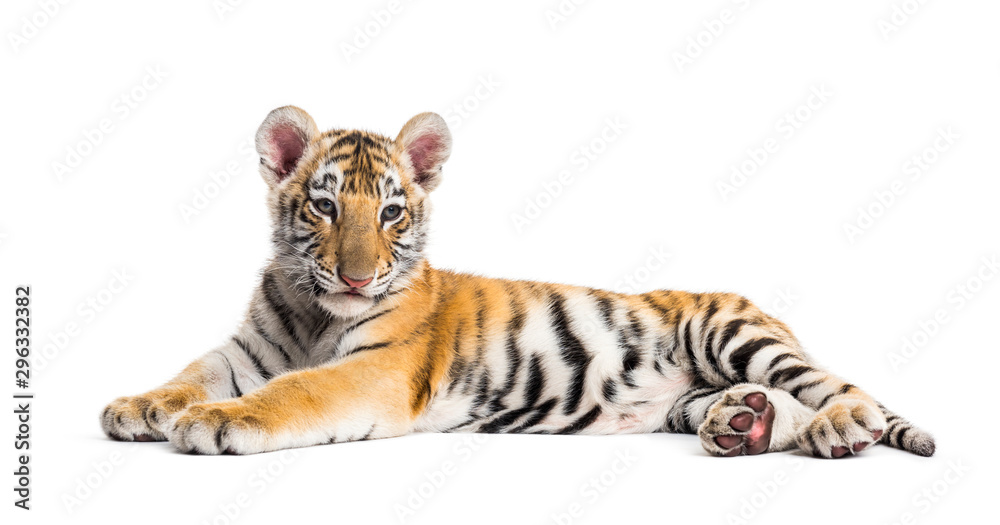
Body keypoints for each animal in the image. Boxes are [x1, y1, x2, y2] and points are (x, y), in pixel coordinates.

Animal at [101, 106, 934, 458]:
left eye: (392, 211)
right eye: (325, 205)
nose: (357, 276)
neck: (314, 313)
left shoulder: (376, 368)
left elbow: (295, 391)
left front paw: (218, 420)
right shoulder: (246, 348)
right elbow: (190, 372)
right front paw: (137, 406)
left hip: (732, 331)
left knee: (837, 388)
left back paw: (837, 426)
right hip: (688, 394)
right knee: (772, 405)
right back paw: (745, 425)